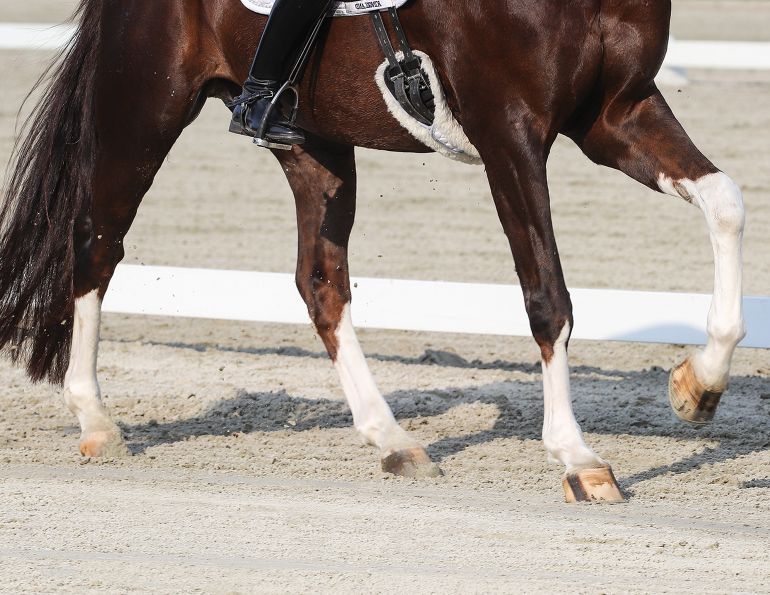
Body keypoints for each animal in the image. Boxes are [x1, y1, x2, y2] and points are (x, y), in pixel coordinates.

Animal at [0, 0, 746, 503]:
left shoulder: (615, 114)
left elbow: (726, 200)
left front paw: (697, 385)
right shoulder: (510, 131)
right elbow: (547, 296)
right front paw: (577, 457)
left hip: (315, 141)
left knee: (320, 282)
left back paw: (393, 440)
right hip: (145, 106)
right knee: (95, 245)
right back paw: (97, 422)